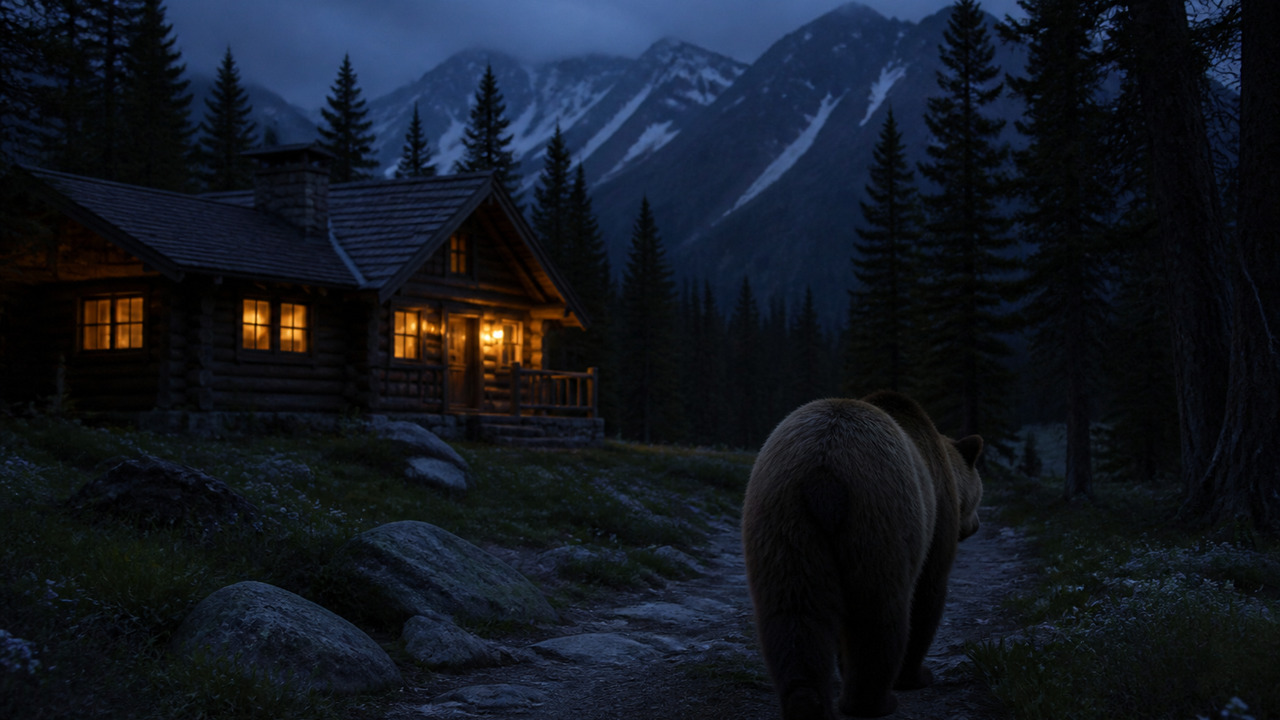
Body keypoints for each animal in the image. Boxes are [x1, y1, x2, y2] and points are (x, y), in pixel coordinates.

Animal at [741, 390, 983, 719]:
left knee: (792, 611)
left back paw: (806, 702)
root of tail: (822, 470)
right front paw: (917, 675)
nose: (976, 525)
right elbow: (928, 592)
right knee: (879, 613)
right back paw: (873, 701)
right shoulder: (935, 516)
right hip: (879, 515)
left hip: (783, 520)